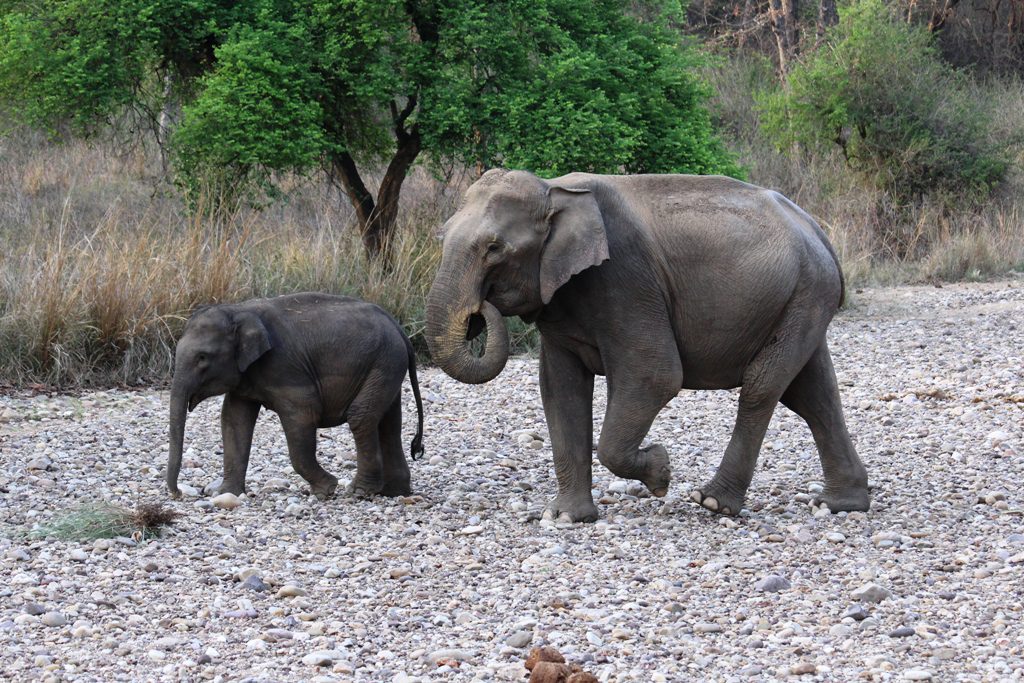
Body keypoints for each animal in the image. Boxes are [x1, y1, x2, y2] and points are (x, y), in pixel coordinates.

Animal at [167, 292, 424, 500]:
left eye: (202, 357)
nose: (179, 493)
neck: (238, 310)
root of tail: (398, 327)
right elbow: (234, 420)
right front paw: (226, 494)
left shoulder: (285, 367)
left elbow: (302, 414)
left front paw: (327, 490)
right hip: (387, 364)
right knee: (389, 422)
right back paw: (393, 492)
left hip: (383, 362)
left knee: (361, 417)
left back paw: (359, 492)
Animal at [425, 169, 869, 522]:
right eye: (441, 236)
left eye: (494, 248)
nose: (479, 309)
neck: (553, 189)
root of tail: (816, 228)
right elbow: (560, 390)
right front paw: (566, 518)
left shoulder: (626, 278)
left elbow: (654, 376)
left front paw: (661, 472)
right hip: (800, 299)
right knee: (811, 393)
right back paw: (841, 504)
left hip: (805, 294)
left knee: (763, 386)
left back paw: (713, 503)